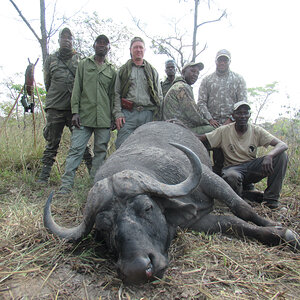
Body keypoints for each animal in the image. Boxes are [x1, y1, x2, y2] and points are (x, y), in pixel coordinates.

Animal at [44, 120, 300, 284]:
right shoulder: (195, 221)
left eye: (147, 207)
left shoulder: (210, 179)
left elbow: (241, 209)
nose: (137, 270)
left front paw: (283, 231)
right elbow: (230, 222)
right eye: (104, 227)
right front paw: (278, 233)